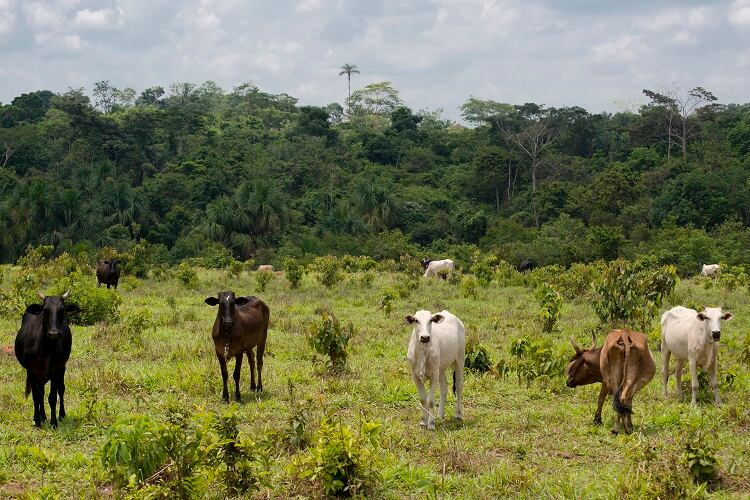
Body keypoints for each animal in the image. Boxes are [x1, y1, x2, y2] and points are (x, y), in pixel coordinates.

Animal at [14, 291, 80, 428]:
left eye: (62, 309)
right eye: (45, 310)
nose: (54, 334)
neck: (44, 348)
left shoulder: (55, 369)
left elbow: (53, 397)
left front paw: (54, 422)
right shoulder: (31, 370)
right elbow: (36, 396)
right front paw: (37, 420)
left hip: (62, 367)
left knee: (61, 389)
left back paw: (61, 415)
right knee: (41, 393)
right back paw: (42, 416)